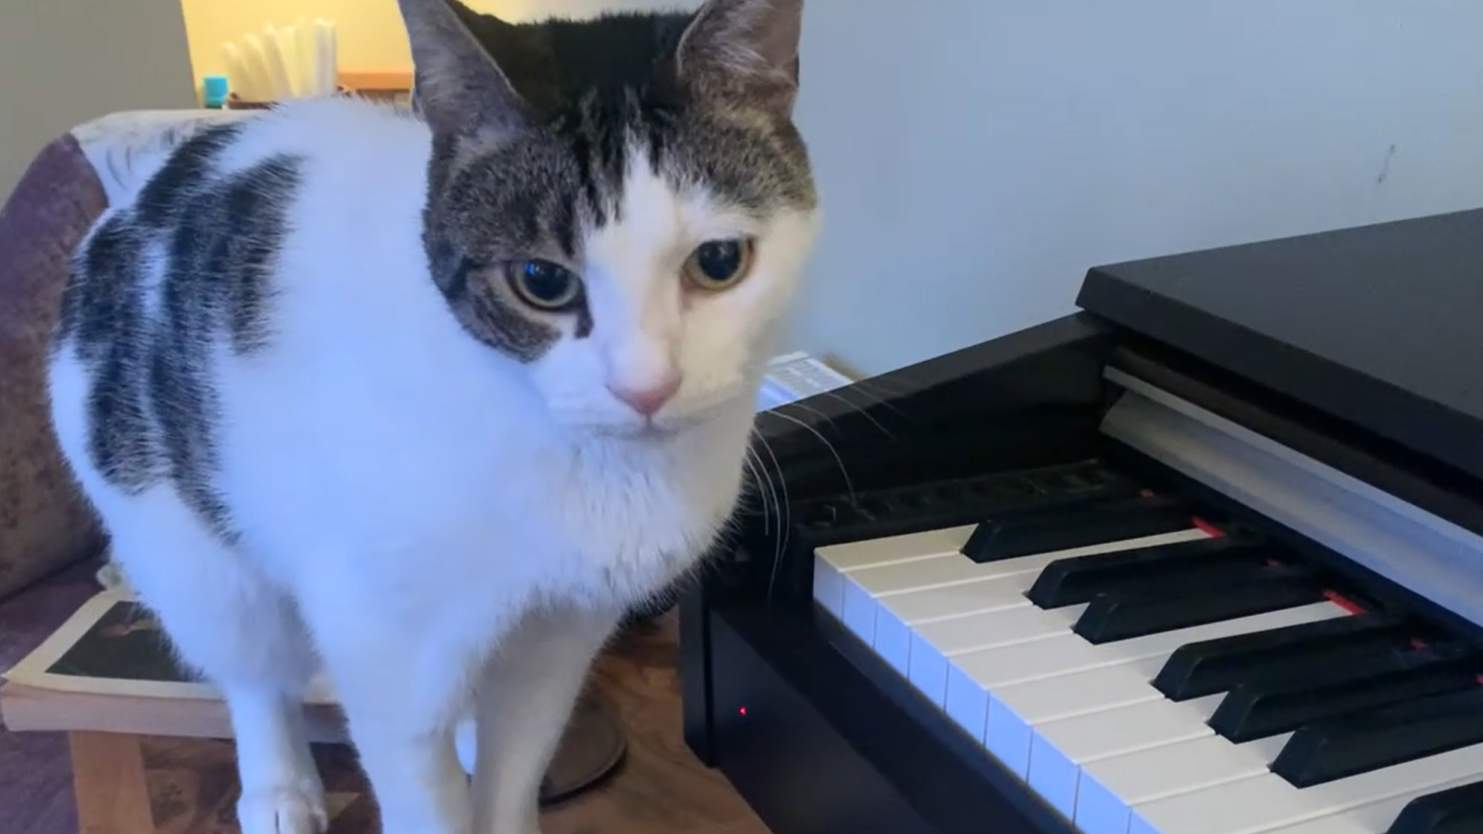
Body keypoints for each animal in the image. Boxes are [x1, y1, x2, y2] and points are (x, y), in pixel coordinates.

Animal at [44, 0, 818, 832]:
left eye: (719, 262)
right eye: (541, 280)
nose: (645, 385)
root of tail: (150, 188)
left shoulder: (557, 643)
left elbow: (513, 771)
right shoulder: (386, 653)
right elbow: (419, 788)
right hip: (188, 547)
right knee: (253, 669)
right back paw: (279, 788)